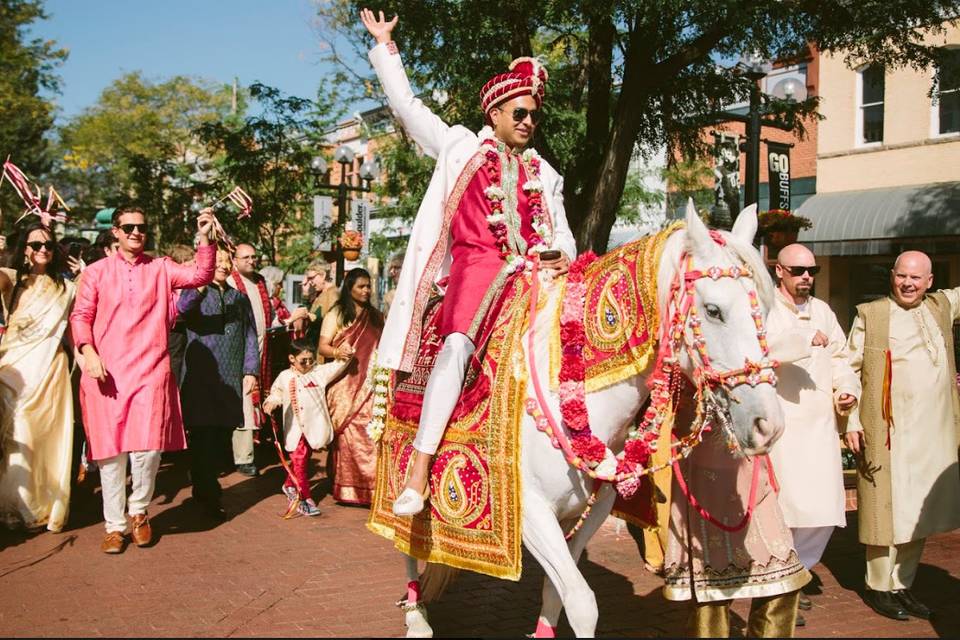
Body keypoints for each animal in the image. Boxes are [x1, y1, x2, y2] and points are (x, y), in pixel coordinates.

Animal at [398, 204, 780, 636]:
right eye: (713, 311)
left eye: (764, 311)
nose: (769, 423)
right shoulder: (531, 513)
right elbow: (582, 602)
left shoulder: (595, 508)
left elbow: (557, 591)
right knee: (403, 540)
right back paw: (416, 614)